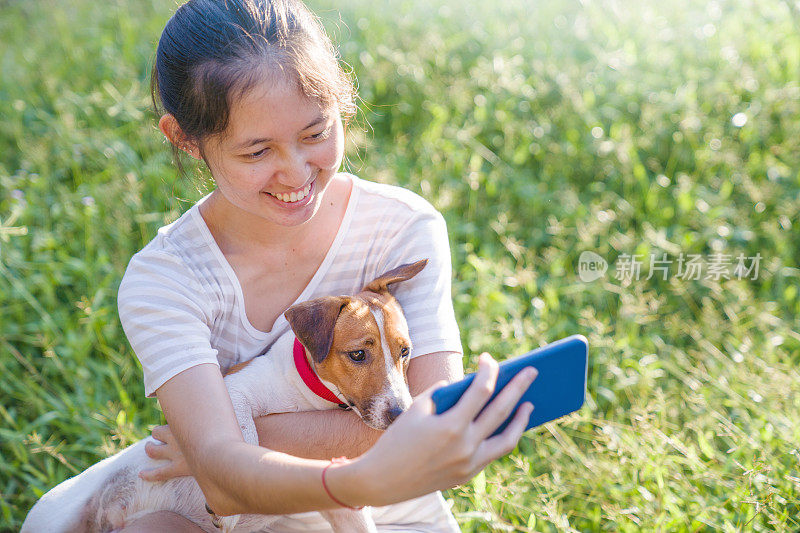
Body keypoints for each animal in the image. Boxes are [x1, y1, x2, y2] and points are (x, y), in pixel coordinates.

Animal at [20, 256, 456, 528]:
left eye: (405, 352)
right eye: (358, 354)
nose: (403, 415)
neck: (309, 395)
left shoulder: (344, 511)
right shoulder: (235, 390)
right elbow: (244, 434)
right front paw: (228, 511)